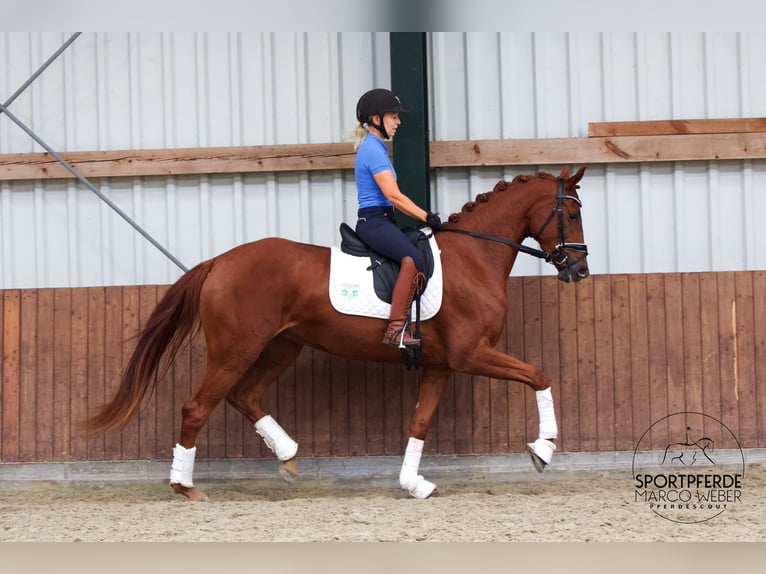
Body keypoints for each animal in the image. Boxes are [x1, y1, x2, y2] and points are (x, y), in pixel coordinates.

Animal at [91, 165, 592, 500]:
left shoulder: (441, 364)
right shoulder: (471, 354)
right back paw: (185, 486)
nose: (579, 270)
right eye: (570, 213)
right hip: (236, 351)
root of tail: (220, 261)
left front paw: (413, 483)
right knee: (198, 407)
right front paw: (543, 449)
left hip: (281, 347)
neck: (474, 258)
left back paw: (288, 454)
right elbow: (540, 374)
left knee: (244, 396)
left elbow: (419, 423)